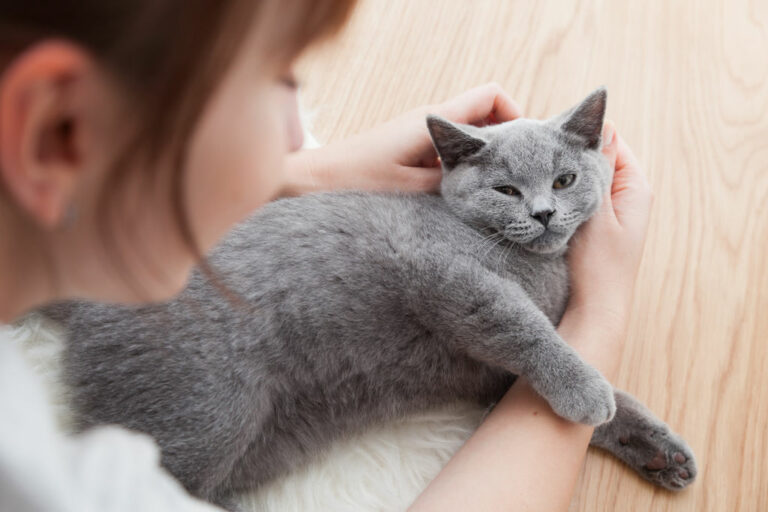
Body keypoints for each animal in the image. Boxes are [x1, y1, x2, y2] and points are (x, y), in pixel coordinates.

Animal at [45, 90, 700, 510]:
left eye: (564, 180)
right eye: (506, 190)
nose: (542, 213)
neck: (537, 266)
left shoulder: (496, 379)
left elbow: (599, 392)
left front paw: (658, 450)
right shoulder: (444, 273)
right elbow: (524, 327)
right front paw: (585, 393)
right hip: (204, 413)